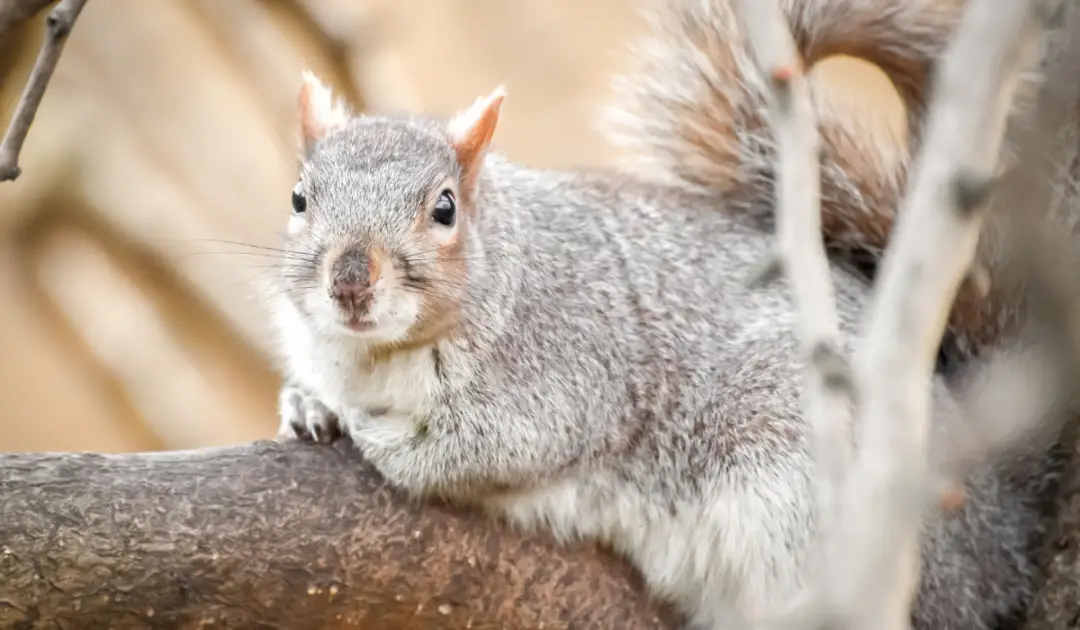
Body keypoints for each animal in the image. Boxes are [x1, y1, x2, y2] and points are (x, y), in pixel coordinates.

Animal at [269, 0, 1073, 628]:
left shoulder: (564, 373)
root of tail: (1002, 530)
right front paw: (308, 403)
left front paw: (374, 433)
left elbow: (476, 450)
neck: (377, 356)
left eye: (444, 209)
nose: (349, 283)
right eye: (299, 198)